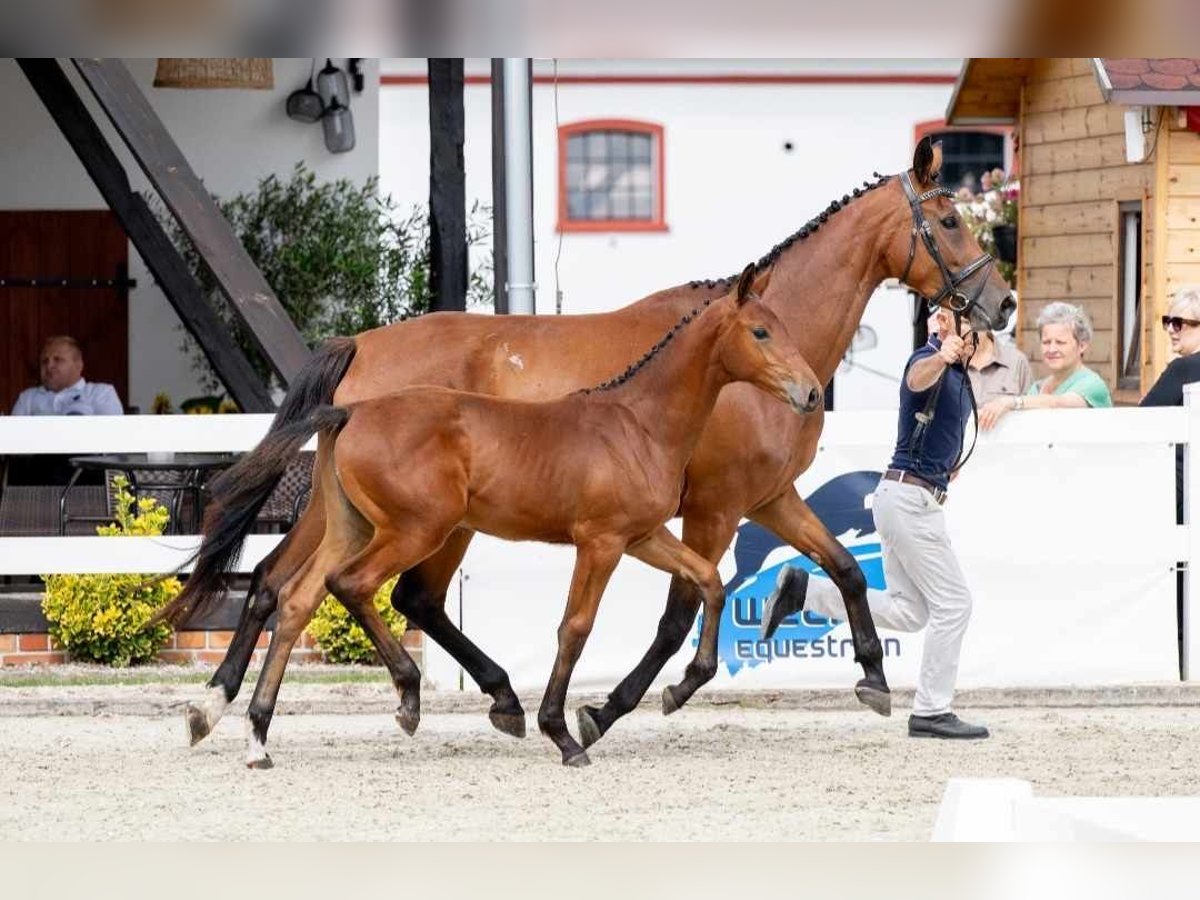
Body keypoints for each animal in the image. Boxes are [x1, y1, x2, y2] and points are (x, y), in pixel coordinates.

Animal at [243, 266, 825, 768]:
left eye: (784, 327)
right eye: (760, 332)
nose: (812, 392)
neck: (638, 423)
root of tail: (350, 411)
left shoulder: (645, 536)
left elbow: (708, 580)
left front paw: (683, 683)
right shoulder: (601, 541)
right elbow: (575, 627)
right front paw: (564, 733)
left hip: (353, 528)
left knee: (296, 598)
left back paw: (258, 736)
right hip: (416, 531)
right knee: (353, 585)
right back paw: (408, 697)